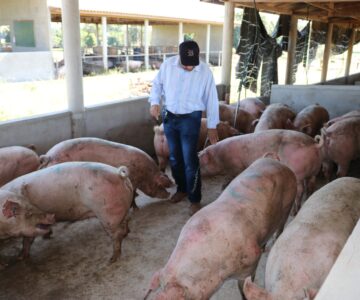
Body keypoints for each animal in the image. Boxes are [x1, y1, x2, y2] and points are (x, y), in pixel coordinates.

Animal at [1, 162, 134, 262]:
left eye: (30, 211)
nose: (52, 215)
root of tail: (119, 174)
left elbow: (27, 240)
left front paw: (20, 258)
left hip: (107, 213)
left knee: (116, 233)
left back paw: (112, 259)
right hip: (120, 209)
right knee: (127, 220)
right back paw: (126, 234)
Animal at [38, 137, 173, 207]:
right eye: (158, 185)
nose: (169, 195)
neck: (144, 174)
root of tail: (48, 156)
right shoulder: (133, 181)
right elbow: (133, 195)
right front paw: (135, 207)